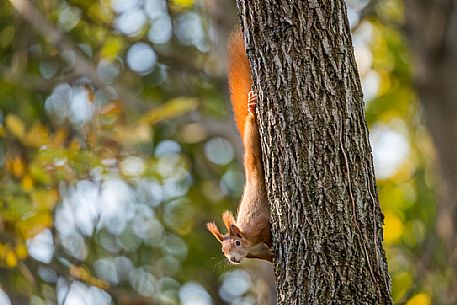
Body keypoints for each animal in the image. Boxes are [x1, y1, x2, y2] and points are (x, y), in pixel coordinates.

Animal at [206, 30, 270, 264]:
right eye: (223, 250)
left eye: (237, 243)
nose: (233, 259)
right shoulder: (258, 253)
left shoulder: (260, 226)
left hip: (252, 155)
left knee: (252, 136)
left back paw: (252, 109)